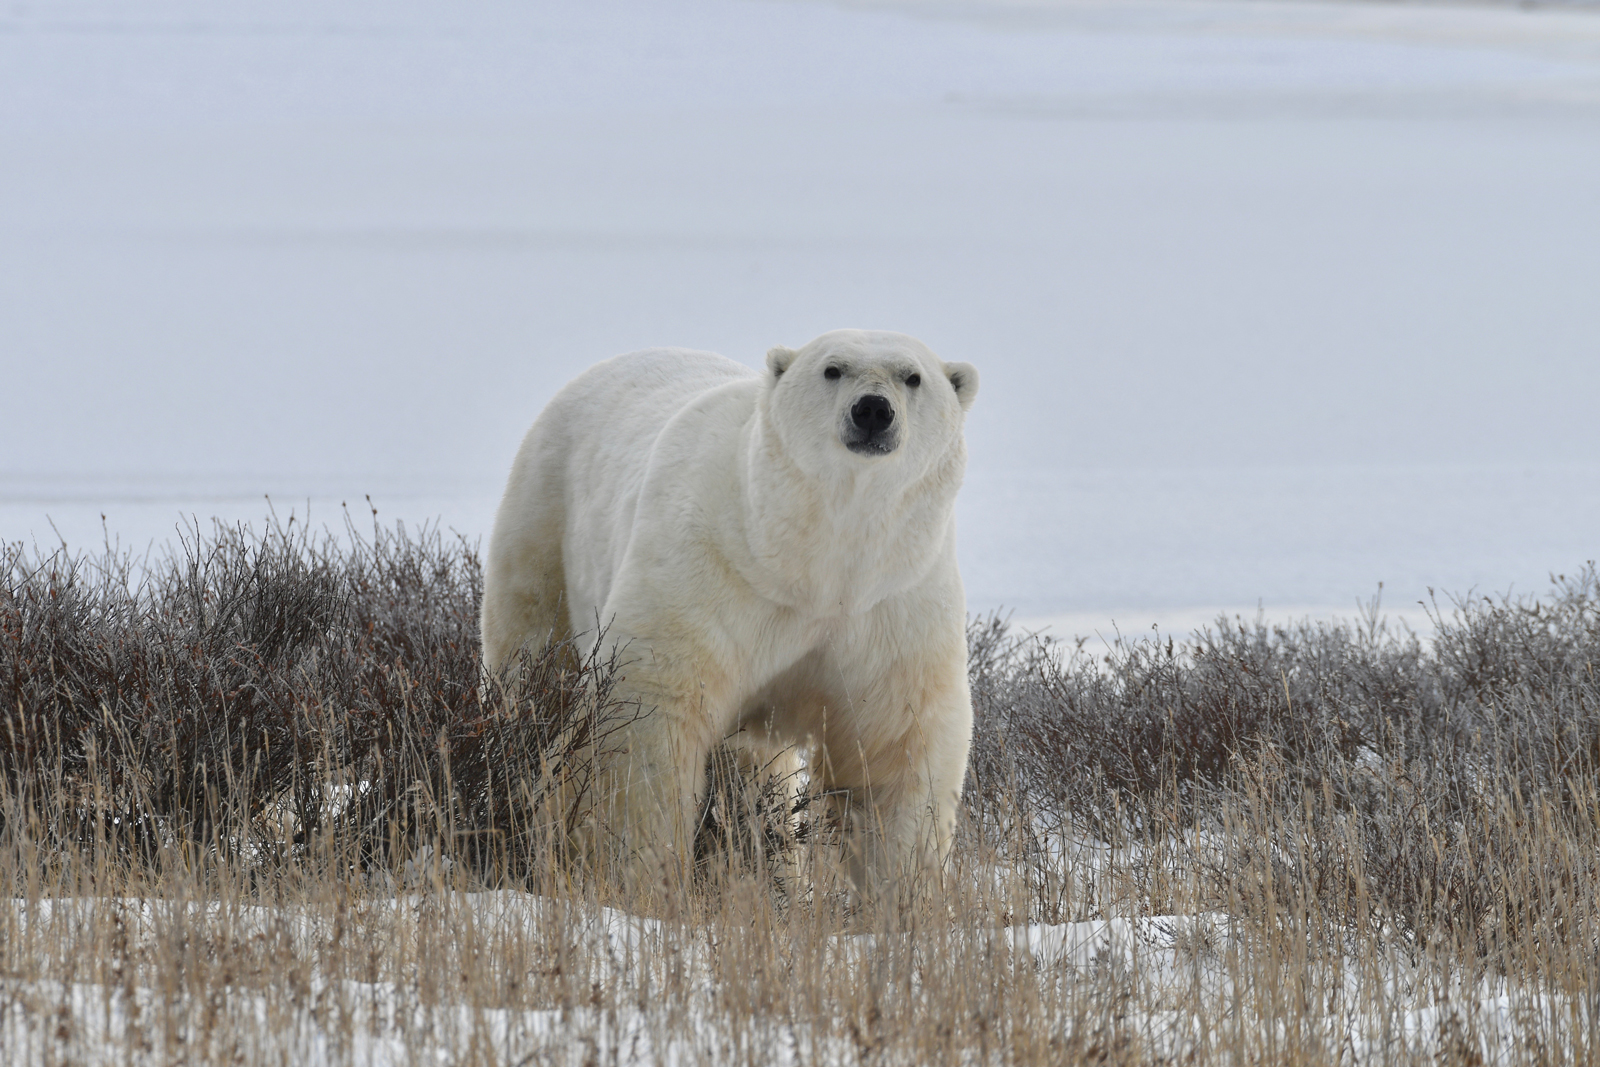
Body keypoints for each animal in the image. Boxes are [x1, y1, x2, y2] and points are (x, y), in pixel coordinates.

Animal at [476, 329, 972, 895]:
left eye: (913, 377)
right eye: (832, 368)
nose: (872, 410)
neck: (812, 563)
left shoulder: (893, 604)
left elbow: (897, 745)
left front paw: (907, 889)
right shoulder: (709, 567)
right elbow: (646, 717)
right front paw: (630, 873)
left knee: (760, 775)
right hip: (545, 519)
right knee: (534, 659)